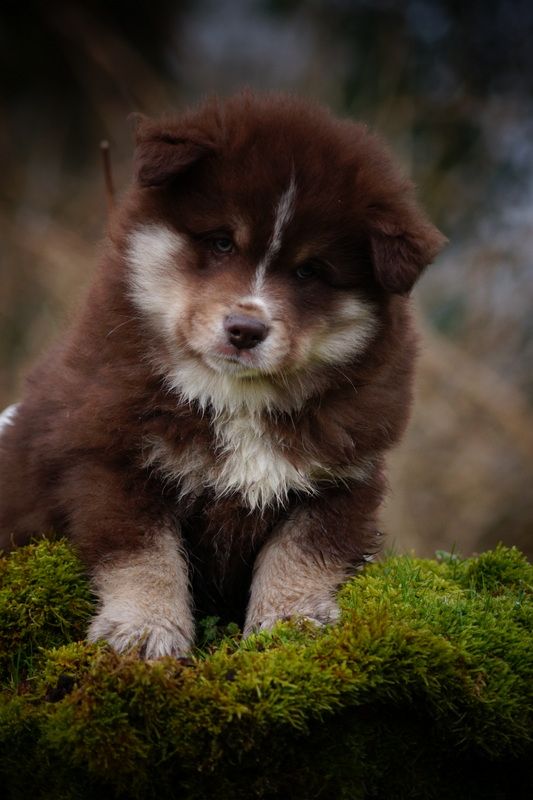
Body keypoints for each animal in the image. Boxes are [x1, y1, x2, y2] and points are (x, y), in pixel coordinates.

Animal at [0, 94, 444, 656]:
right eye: (222, 243)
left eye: (309, 270)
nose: (245, 329)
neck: (233, 397)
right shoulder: (108, 457)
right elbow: (143, 555)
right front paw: (144, 631)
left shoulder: (344, 478)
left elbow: (303, 552)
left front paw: (292, 623)